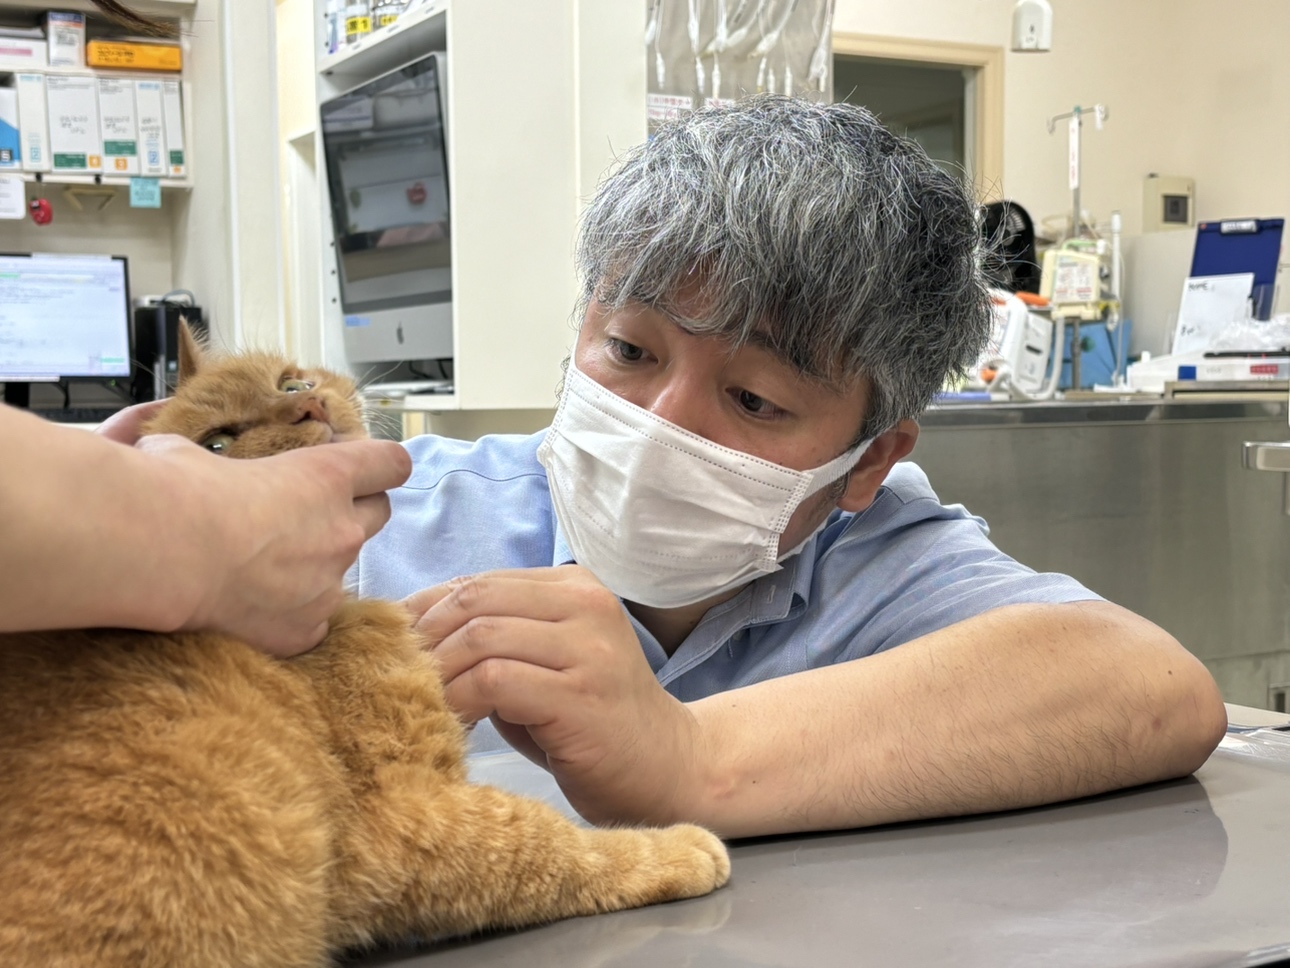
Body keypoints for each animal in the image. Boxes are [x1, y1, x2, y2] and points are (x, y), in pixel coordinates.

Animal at [0, 327, 727, 968]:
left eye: (290, 382)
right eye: (218, 442)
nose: (308, 404)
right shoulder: (403, 822)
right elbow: (547, 840)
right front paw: (673, 850)